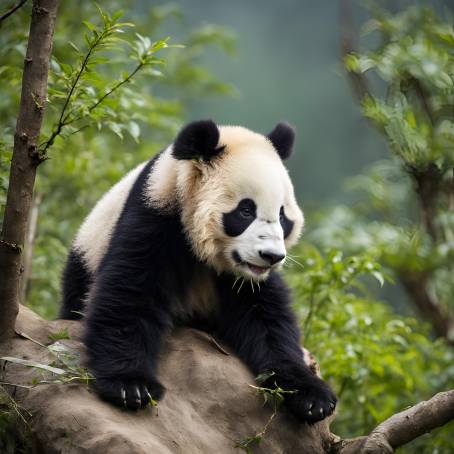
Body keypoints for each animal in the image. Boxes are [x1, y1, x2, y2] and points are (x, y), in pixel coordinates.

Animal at [61, 119, 336, 422]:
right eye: (246, 211)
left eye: (282, 216)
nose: (271, 256)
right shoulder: (155, 215)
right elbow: (130, 291)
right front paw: (130, 386)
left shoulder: (248, 279)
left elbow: (267, 317)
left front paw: (311, 396)